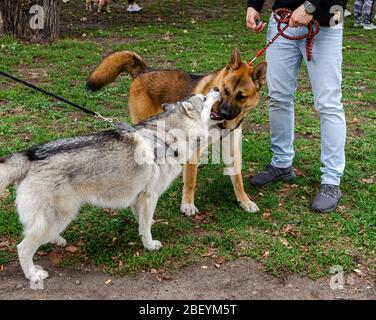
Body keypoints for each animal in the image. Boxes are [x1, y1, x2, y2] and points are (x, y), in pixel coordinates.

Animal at [0, 89, 222, 282]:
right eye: (204, 98)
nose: (217, 88)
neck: (167, 137)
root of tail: (30, 155)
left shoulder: (138, 200)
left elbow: (143, 223)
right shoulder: (149, 197)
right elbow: (146, 226)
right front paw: (150, 245)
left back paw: (56, 241)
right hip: (59, 216)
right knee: (23, 248)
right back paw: (33, 275)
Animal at [87, 48, 268, 215]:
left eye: (241, 96)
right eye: (225, 90)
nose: (222, 112)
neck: (221, 124)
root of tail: (144, 70)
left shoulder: (231, 149)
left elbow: (237, 178)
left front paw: (244, 201)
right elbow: (190, 180)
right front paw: (187, 205)